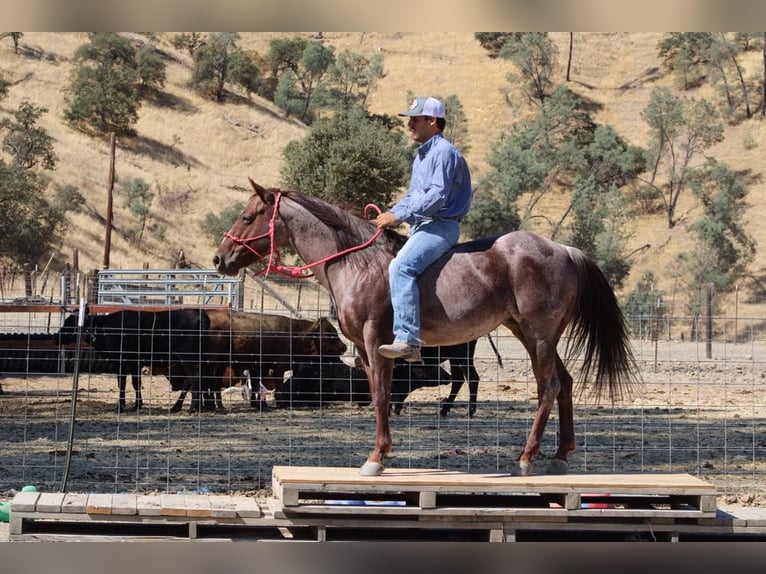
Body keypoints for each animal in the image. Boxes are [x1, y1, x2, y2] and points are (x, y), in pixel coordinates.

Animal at [213, 180, 639, 476]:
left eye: (248, 216)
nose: (219, 258)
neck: (357, 263)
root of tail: (563, 249)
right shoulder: (362, 350)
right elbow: (377, 394)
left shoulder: (376, 341)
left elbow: (382, 395)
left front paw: (376, 458)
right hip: (532, 334)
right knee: (564, 384)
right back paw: (560, 456)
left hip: (538, 336)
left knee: (548, 386)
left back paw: (526, 457)